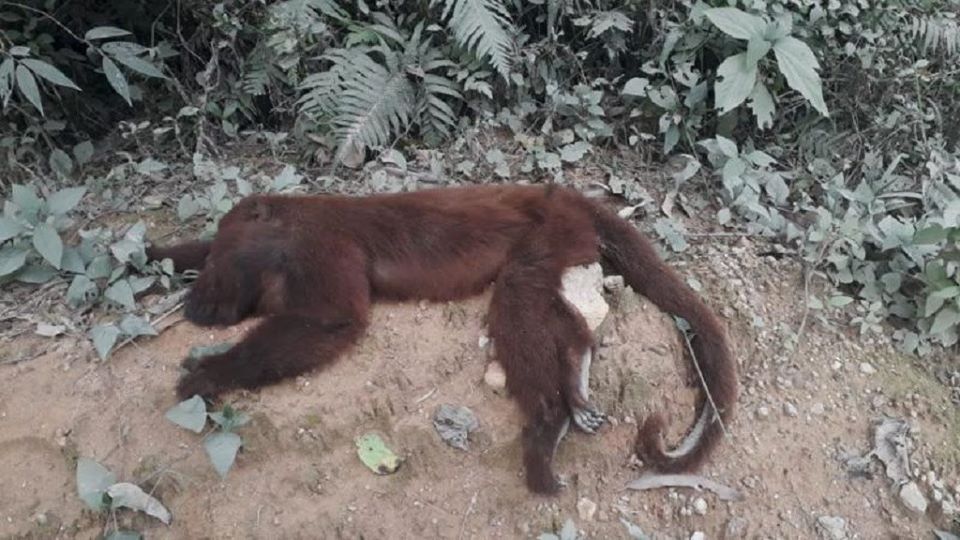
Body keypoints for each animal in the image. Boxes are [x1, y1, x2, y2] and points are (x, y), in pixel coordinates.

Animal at [146, 184, 737, 494]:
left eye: (220, 265)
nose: (196, 304)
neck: (283, 232)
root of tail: (561, 192)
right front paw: (152, 255)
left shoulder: (319, 242)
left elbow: (334, 321)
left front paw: (209, 374)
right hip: (566, 237)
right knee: (539, 303)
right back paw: (573, 375)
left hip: (553, 228)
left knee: (517, 294)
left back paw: (549, 422)